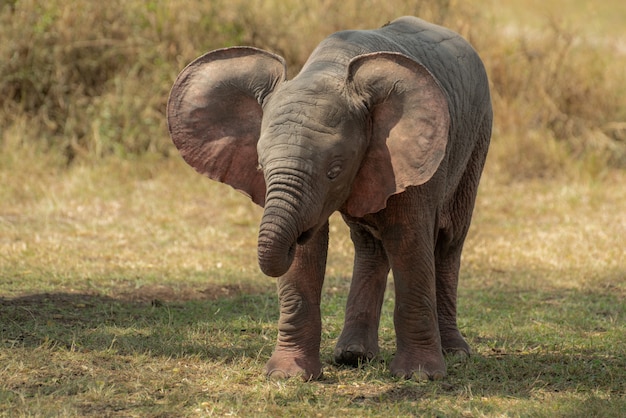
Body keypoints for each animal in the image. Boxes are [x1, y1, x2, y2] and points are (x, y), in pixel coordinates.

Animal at [168, 16, 490, 382]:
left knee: (449, 241)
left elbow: (409, 243)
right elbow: (307, 256)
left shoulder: (410, 158)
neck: (330, 70)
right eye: (261, 166)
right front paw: (289, 376)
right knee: (370, 245)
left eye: (334, 171)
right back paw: (354, 356)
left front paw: (419, 376)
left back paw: (455, 353)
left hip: (477, 139)